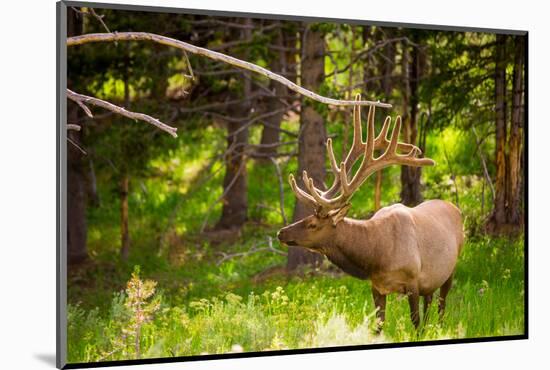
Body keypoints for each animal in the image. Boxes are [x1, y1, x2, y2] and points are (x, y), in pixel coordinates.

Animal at [278, 96, 464, 330]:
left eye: (313, 224)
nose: (281, 233)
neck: (375, 257)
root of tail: (455, 208)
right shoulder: (377, 287)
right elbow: (378, 327)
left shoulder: (413, 281)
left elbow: (415, 323)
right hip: (430, 281)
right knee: (430, 303)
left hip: (450, 269)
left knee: (441, 305)